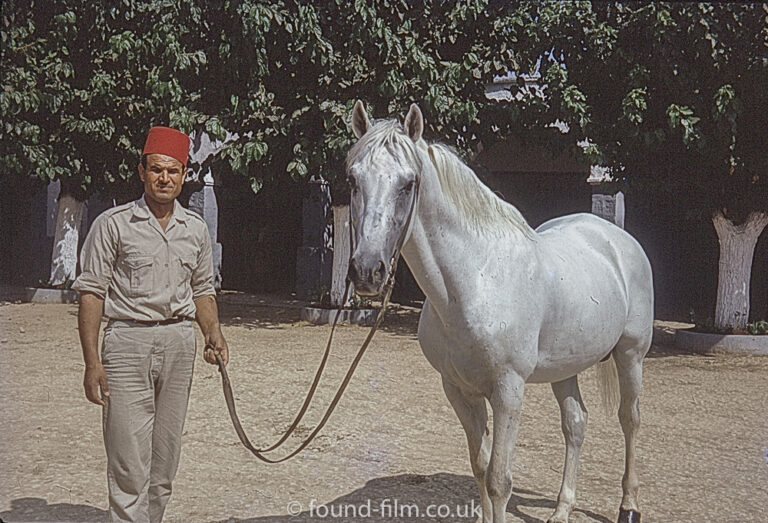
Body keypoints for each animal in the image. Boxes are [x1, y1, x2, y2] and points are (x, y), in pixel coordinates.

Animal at [348, 102, 656, 523]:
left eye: (408, 184)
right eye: (352, 180)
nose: (367, 270)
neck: (476, 281)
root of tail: (615, 237)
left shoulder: (509, 391)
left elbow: (499, 479)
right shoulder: (458, 389)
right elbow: (480, 466)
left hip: (630, 355)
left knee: (630, 420)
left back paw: (628, 506)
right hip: (566, 367)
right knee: (575, 424)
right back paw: (562, 509)